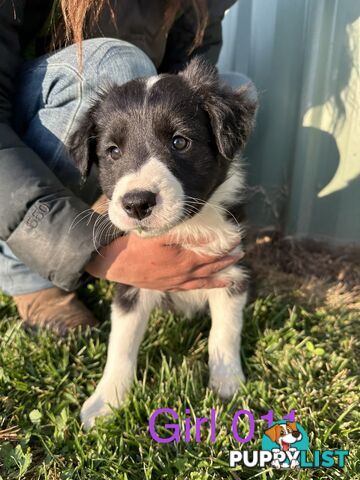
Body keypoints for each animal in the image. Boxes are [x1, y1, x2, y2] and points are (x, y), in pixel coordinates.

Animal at [69, 58, 256, 430]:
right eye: (113, 152)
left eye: (179, 142)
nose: (137, 203)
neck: (186, 228)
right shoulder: (133, 279)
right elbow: (121, 343)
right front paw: (106, 401)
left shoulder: (232, 270)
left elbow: (225, 331)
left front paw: (228, 384)